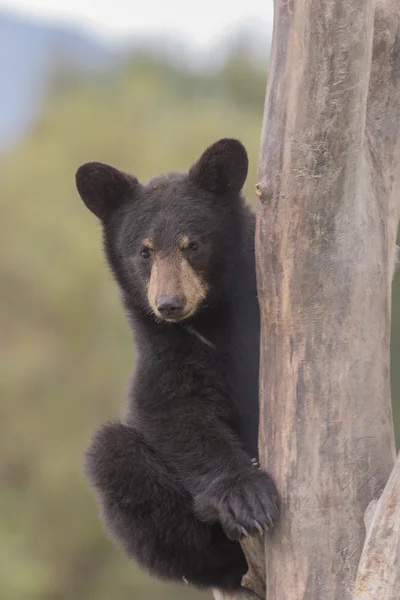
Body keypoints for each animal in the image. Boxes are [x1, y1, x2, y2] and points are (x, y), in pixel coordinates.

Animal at [76, 138, 282, 592]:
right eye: (144, 251)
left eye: (194, 245)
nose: (169, 304)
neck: (210, 320)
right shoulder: (166, 353)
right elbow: (172, 411)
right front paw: (246, 496)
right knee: (111, 454)